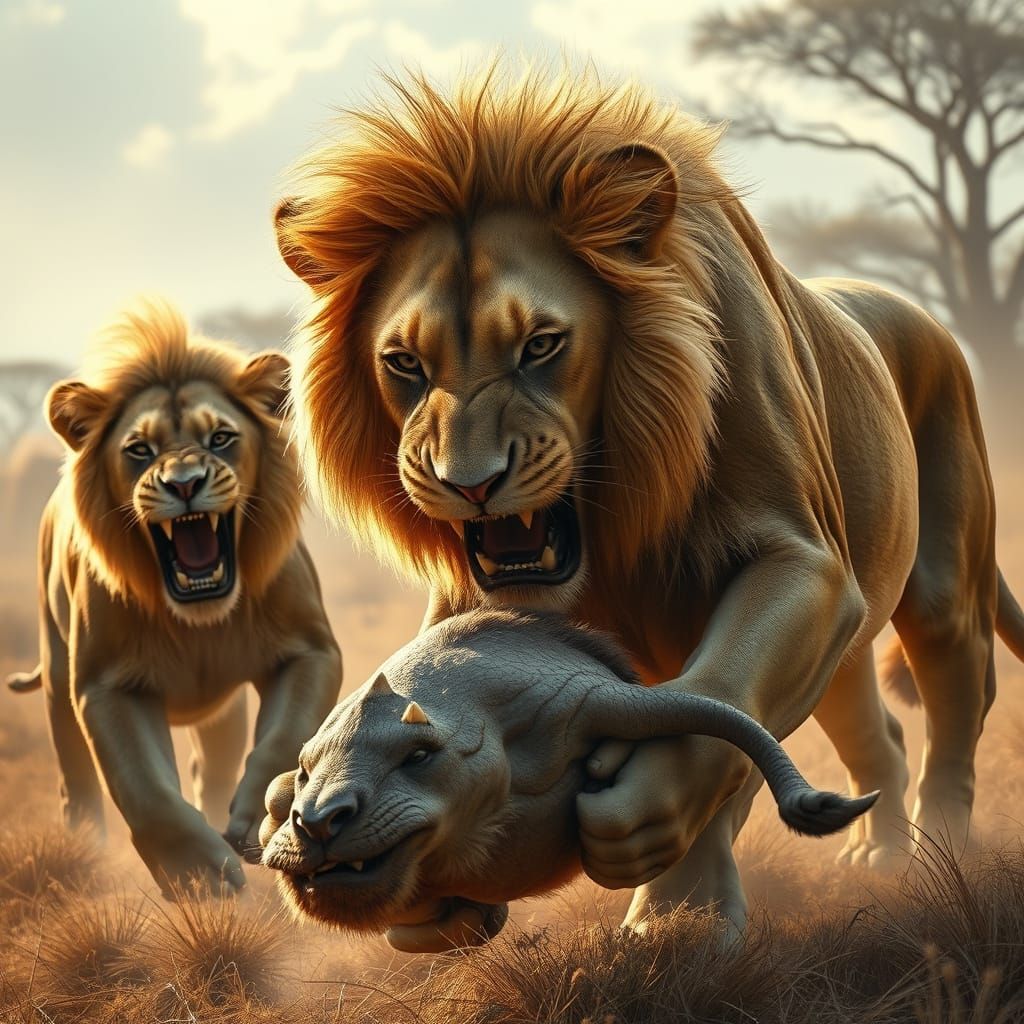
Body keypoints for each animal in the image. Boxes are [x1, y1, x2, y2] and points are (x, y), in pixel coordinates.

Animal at [6, 300, 342, 894]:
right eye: (139, 450)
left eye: (220, 439)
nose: (184, 483)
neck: (198, 620)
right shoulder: (106, 686)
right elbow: (146, 790)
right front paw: (198, 875)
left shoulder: (312, 651)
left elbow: (285, 739)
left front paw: (259, 818)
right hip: (56, 674)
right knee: (76, 775)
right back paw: (88, 845)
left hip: (222, 708)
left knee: (215, 762)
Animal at [272, 66, 1024, 947]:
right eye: (403, 363)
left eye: (541, 345)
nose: (470, 482)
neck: (612, 525)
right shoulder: (470, 604)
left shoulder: (805, 566)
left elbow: (723, 707)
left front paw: (677, 918)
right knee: (877, 726)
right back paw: (881, 854)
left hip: (941, 579)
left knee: (956, 696)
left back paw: (943, 851)